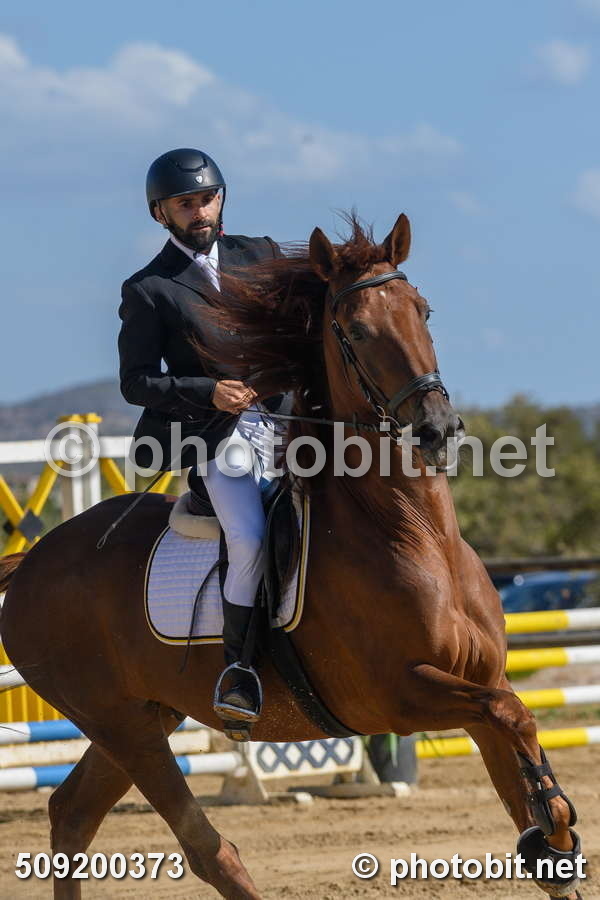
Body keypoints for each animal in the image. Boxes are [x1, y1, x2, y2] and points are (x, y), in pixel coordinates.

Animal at [0, 213, 583, 900]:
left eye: (424, 311)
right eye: (356, 330)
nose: (437, 430)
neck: (414, 533)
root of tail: (34, 561)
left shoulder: (481, 678)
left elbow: (515, 735)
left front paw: (551, 834)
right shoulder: (399, 695)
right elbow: (511, 713)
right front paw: (553, 825)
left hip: (148, 713)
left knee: (72, 815)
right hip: (121, 724)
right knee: (204, 847)